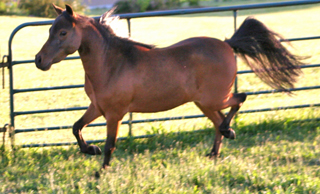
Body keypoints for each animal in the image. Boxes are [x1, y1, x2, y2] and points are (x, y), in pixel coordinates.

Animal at [35, 4, 302, 173]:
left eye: (62, 32)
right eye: (49, 30)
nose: (39, 60)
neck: (112, 63)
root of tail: (228, 44)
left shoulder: (114, 113)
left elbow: (110, 144)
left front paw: (100, 172)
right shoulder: (97, 107)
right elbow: (76, 127)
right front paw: (91, 149)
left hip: (214, 98)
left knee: (239, 99)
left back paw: (228, 132)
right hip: (204, 103)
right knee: (218, 121)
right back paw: (215, 151)